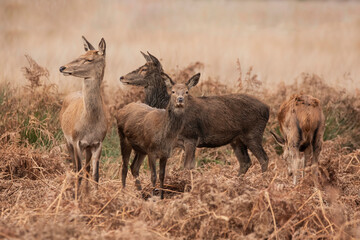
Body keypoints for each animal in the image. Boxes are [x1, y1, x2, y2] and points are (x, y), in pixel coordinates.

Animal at [119, 51, 268, 178]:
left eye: (144, 69)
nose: (122, 77)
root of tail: (267, 109)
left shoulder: (191, 137)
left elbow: (187, 167)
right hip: (236, 139)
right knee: (245, 162)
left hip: (253, 134)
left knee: (264, 159)